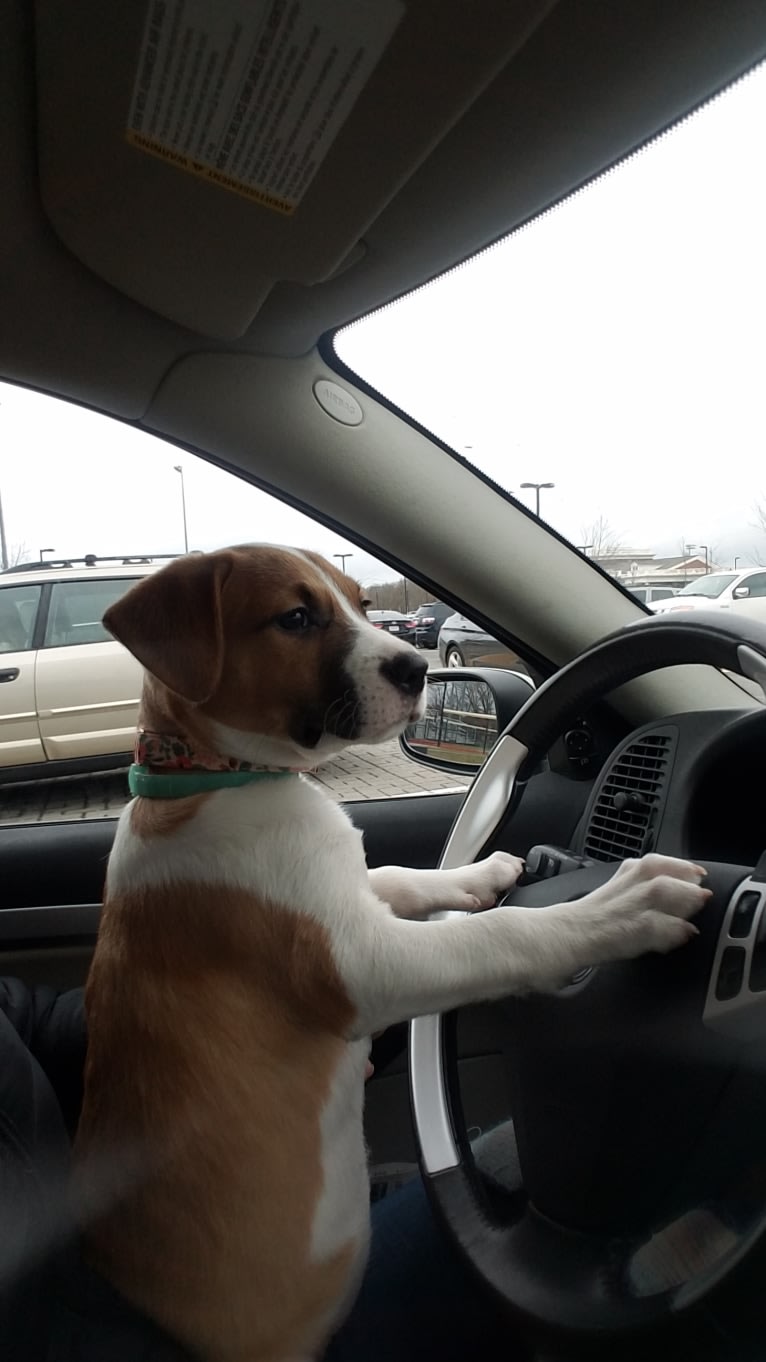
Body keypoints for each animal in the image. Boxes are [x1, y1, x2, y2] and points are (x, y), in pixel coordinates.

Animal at [72, 542, 708, 1362]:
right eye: (296, 618)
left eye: (359, 602)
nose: (416, 669)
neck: (209, 779)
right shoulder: (361, 965)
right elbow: (497, 935)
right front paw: (622, 904)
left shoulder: (354, 899)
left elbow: (403, 876)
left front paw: (483, 873)